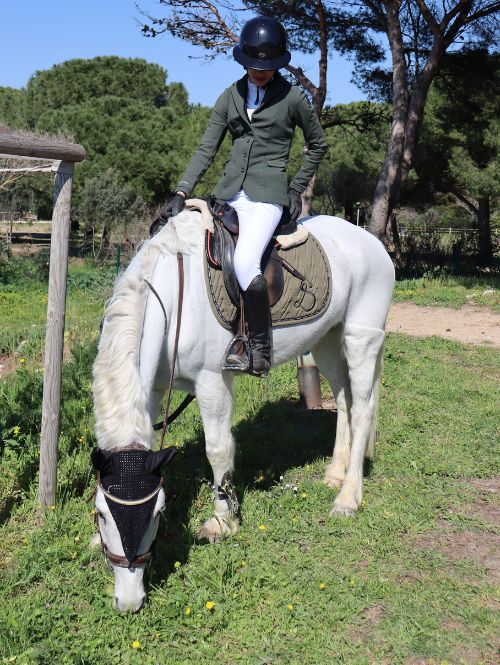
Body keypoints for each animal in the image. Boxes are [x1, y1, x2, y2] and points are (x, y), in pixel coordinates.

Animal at [91, 203, 395, 612]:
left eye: (156, 513)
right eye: (102, 514)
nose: (128, 600)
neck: (174, 296)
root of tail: (372, 242)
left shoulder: (211, 382)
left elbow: (218, 449)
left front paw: (222, 521)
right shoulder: (152, 388)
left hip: (361, 338)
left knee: (362, 409)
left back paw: (347, 497)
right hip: (328, 340)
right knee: (345, 399)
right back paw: (335, 472)